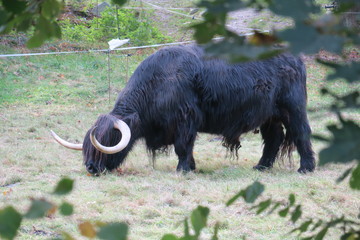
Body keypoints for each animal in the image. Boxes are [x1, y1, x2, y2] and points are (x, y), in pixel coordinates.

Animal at [50, 44, 316, 174]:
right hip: (269, 116)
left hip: (293, 108)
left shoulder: (186, 119)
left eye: (109, 140)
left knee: (301, 134)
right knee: (274, 139)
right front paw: (192, 166)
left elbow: (182, 146)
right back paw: (261, 166)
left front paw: (184, 169)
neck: (157, 83)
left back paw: (306, 168)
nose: (91, 168)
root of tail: (295, 58)